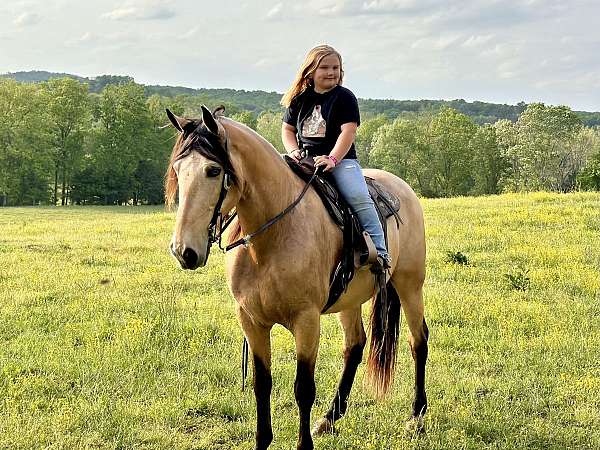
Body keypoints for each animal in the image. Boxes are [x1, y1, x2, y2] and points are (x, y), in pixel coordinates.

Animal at [164, 106, 426, 450]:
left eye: (212, 170)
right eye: (178, 169)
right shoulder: (251, 321)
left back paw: (416, 418)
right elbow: (262, 383)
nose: (184, 251)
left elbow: (303, 388)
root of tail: (402, 187)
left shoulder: (307, 320)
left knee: (418, 342)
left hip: (410, 285)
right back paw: (329, 419)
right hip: (350, 300)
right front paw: (263, 441)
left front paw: (303, 444)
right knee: (355, 346)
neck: (272, 238)